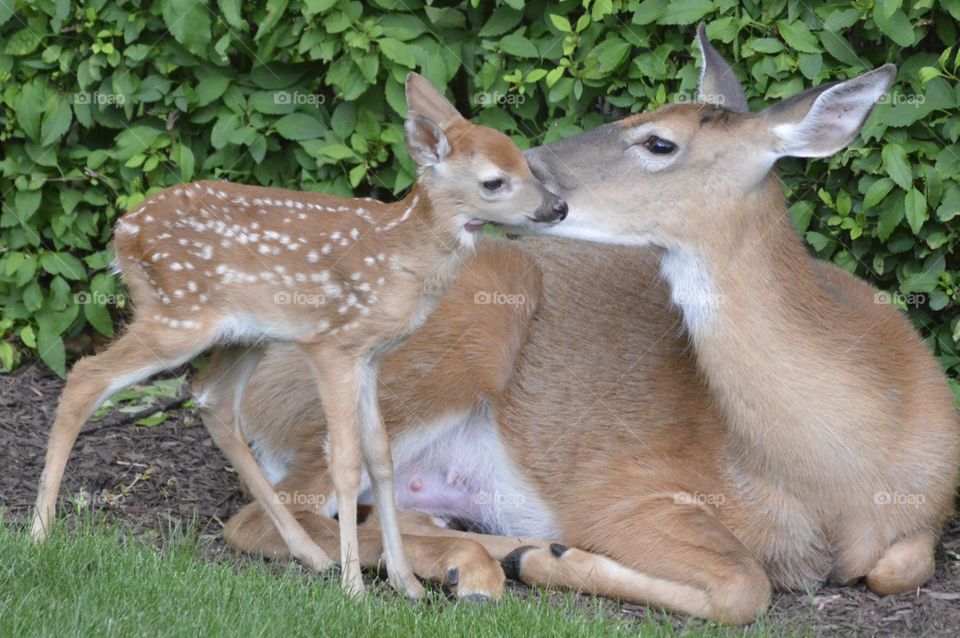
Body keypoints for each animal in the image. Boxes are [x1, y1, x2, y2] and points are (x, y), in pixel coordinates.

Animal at [30, 72, 568, 600]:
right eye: (494, 181)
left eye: (525, 162)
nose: (559, 207)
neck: (401, 257)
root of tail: (123, 232)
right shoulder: (332, 345)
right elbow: (346, 463)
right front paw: (356, 590)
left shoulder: (370, 356)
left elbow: (381, 458)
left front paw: (406, 584)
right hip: (176, 314)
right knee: (86, 375)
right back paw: (39, 532)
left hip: (243, 336)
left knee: (212, 400)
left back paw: (311, 555)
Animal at [209, 26, 959, 623]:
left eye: (659, 141)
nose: (522, 167)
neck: (836, 471)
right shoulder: (625, 492)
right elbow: (744, 584)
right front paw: (553, 559)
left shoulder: (927, 507)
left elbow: (897, 567)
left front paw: (538, 556)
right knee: (265, 517)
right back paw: (491, 563)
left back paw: (479, 558)